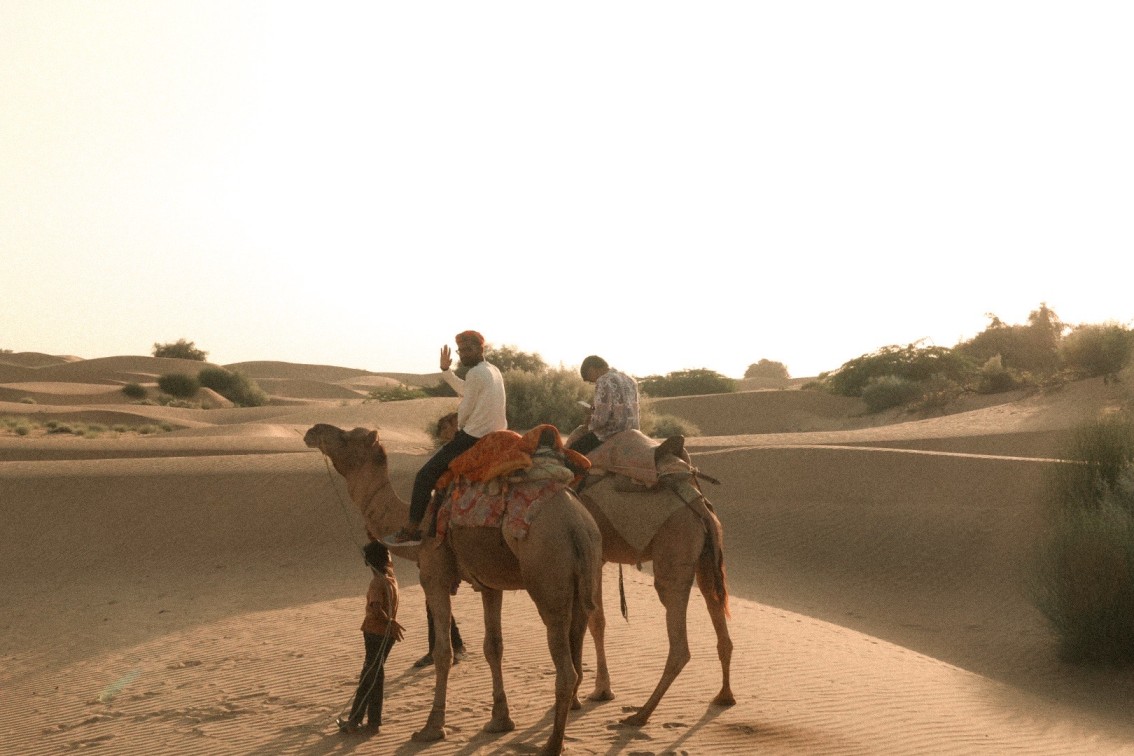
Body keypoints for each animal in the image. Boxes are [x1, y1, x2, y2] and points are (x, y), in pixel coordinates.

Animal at [304, 423, 602, 756]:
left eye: (346, 438)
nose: (313, 430)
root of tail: (578, 527)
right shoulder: (489, 582)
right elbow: (493, 647)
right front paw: (500, 720)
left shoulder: (434, 576)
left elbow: (443, 652)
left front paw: (432, 727)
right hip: (585, 573)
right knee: (578, 638)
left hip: (547, 575)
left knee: (565, 667)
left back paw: (551, 744)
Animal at [568, 427, 735, 726]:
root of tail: (699, 505)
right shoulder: (595, 559)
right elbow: (596, 620)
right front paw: (601, 690)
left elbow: (588, 620)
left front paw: (587, 694)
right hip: (707, 556)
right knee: (716, 612)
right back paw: (724, 697)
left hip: (673, 551)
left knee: (679, 641)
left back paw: (640, 714)